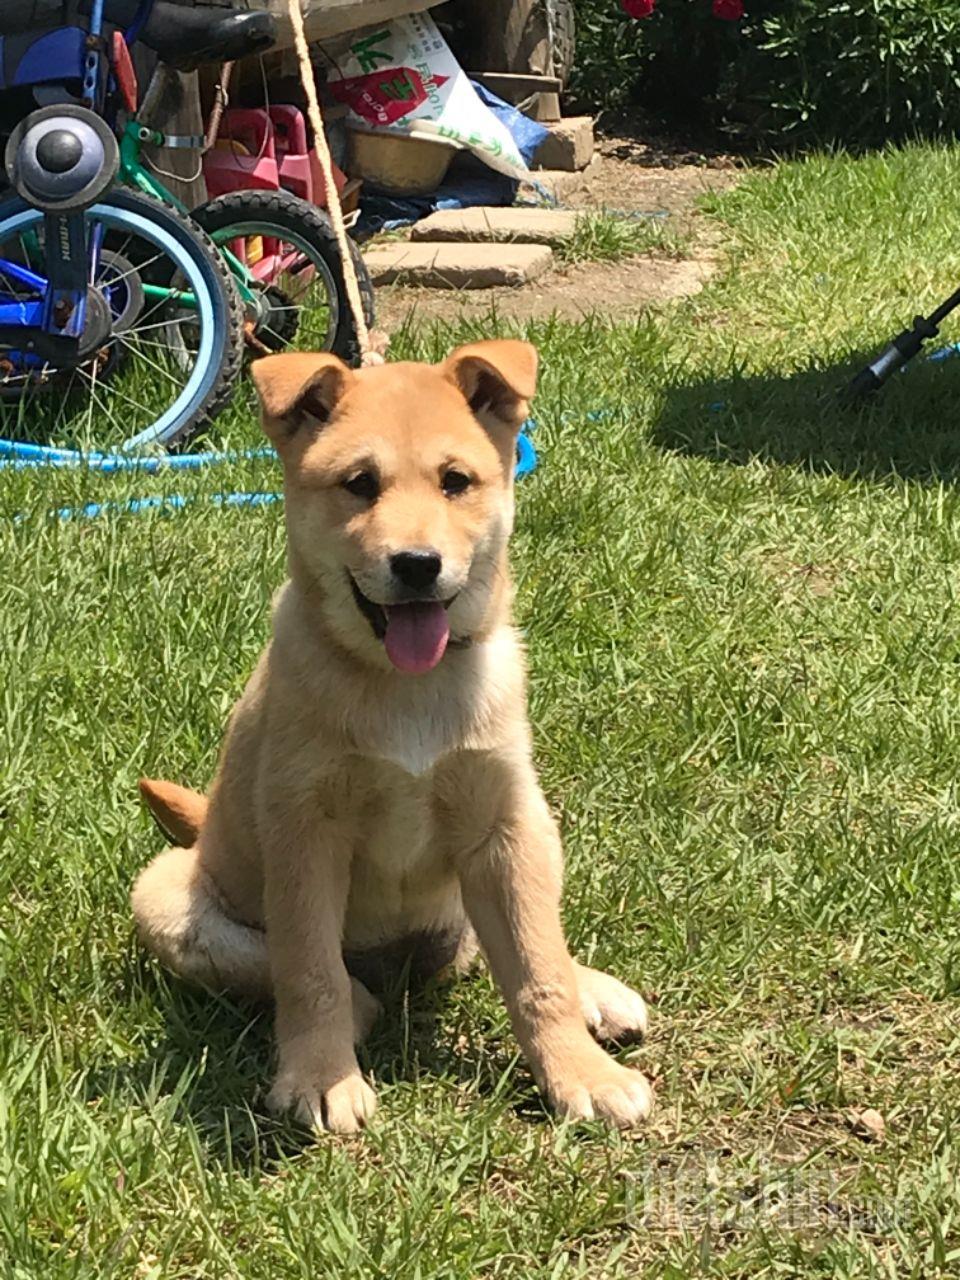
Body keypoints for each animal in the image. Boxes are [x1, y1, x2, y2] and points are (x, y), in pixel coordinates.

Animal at [131, 340, 655, 1131]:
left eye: (455, 482)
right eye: (359, 484)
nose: (416, 566)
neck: (406, 687)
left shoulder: (503, 826)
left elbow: (537, 964)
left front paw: (578, 1073)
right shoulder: (305, 830)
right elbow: (308, 966)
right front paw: (321, 1078)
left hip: (538, 834)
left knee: (519, 947)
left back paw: (595, 991)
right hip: (162, 894)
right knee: (299, 971)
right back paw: (356, 1007)